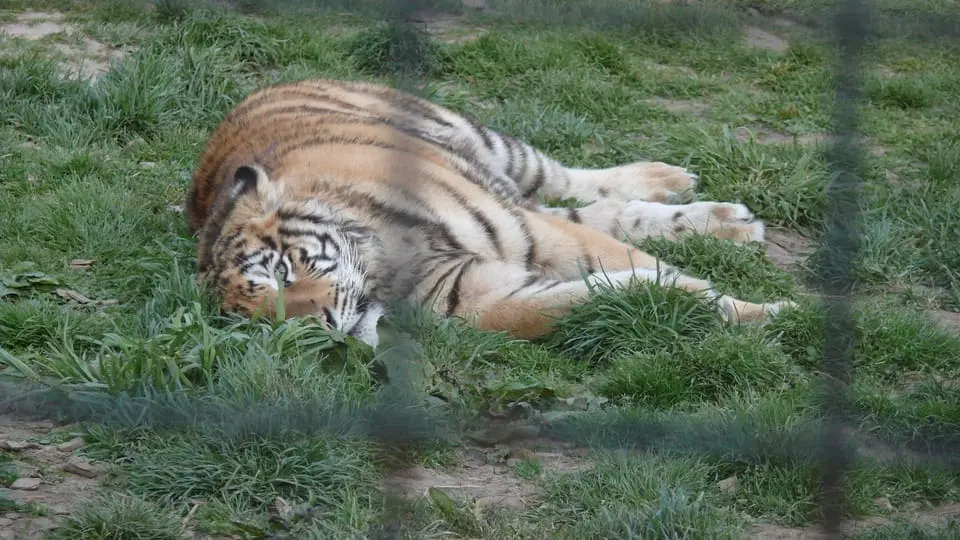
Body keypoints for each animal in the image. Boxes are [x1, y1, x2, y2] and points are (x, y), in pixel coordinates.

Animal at [185, 78, 795, 349]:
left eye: (284, 272)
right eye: (266, 322)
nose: (325, 325)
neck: (384, 266)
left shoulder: (537, 237)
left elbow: (647, 268)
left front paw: (769, 314)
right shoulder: (474, 297)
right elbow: (568, 302)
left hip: (492, 147)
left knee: (572, 182)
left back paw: (679, 183)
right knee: (599, 211)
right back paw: (729, 222)